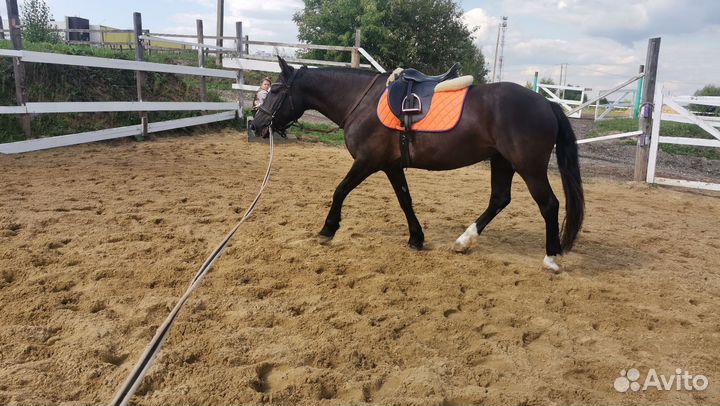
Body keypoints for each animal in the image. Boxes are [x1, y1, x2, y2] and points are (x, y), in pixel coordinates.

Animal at [251, 57, 584, 271]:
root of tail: (547, 104)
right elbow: (405, 200)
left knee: (549, 204)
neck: (363, 101)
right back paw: (463, 241)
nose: (256, 124)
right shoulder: (391, 165)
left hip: (528, 167)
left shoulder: (367, 161)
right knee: (500, 199)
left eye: (276, 90)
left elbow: (340, 190)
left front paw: (328, 229)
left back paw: (551, 258)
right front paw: (416, 238)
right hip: (502, 161)